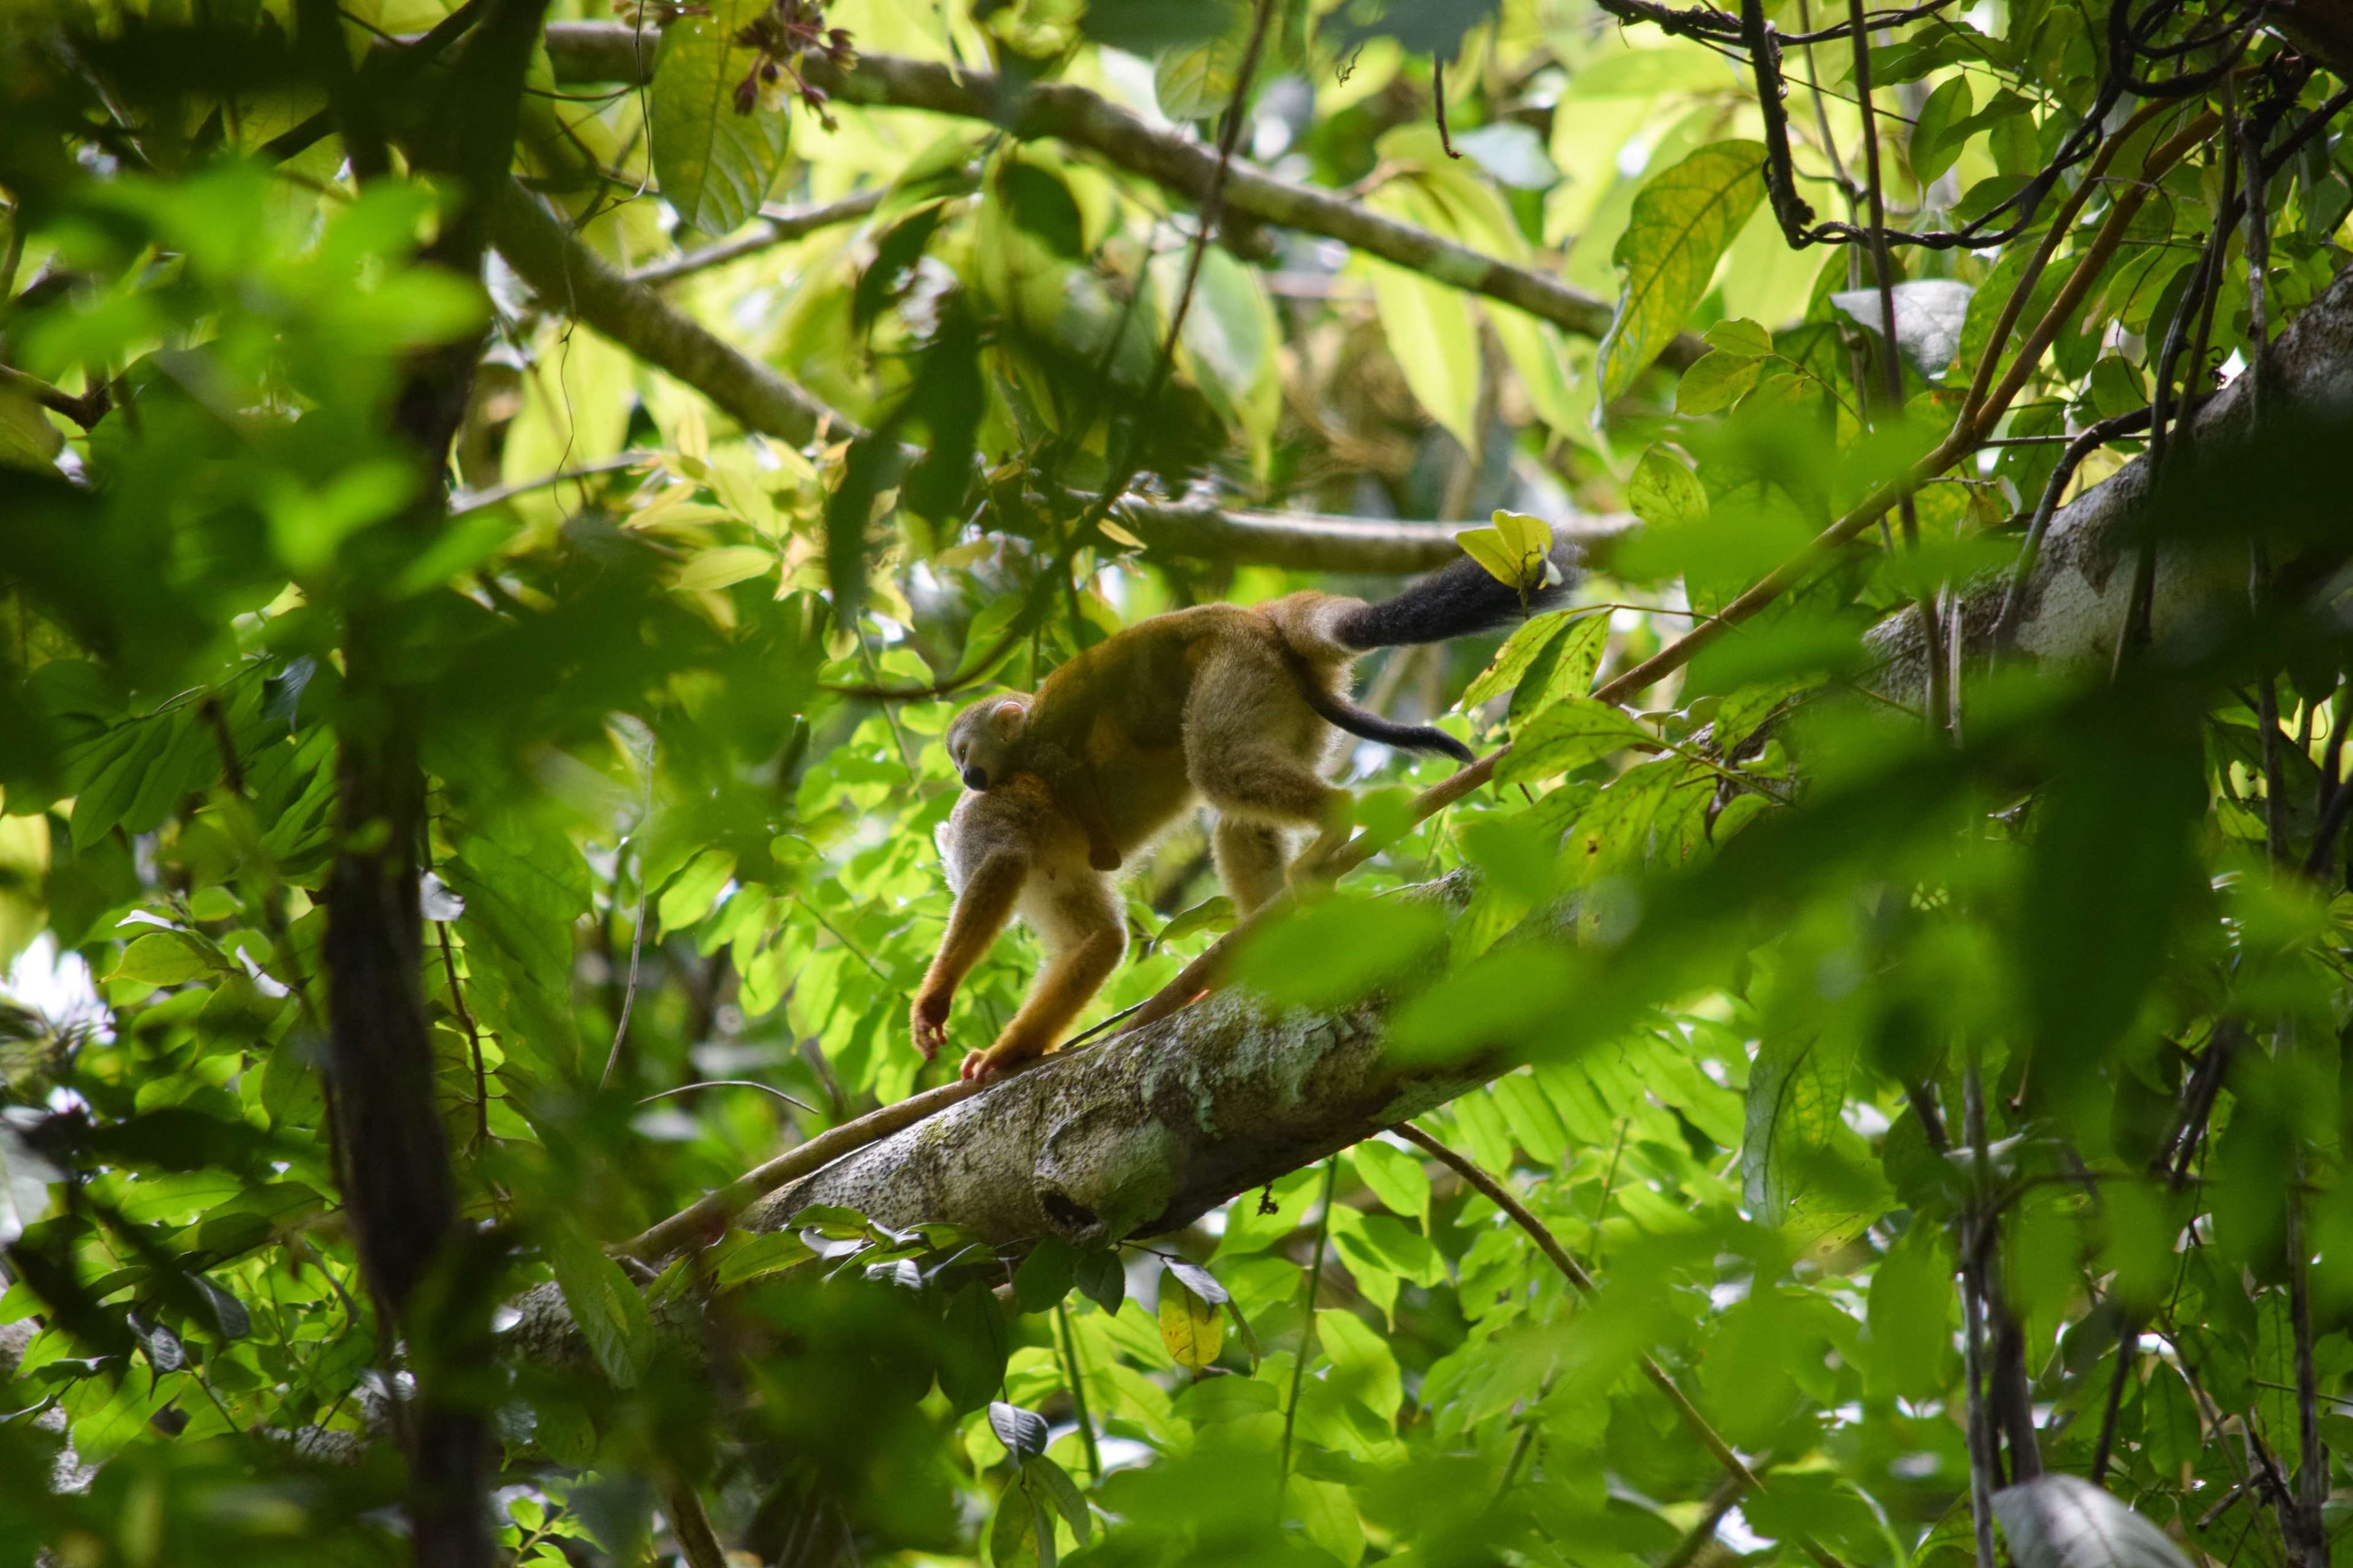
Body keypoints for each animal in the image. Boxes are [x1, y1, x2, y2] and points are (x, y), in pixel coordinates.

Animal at [912, 543, 1581, 1081]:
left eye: (965, 756)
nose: (969, 775)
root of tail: (1262, 622)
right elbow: (1100, 942)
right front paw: (1015, 1053)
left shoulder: (983, 824)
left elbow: (1000, 867)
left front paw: (934, 1005)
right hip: (1292, 702)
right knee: (1239, 811)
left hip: (1237, 665)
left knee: (1219, 766)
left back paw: (1335, 819)